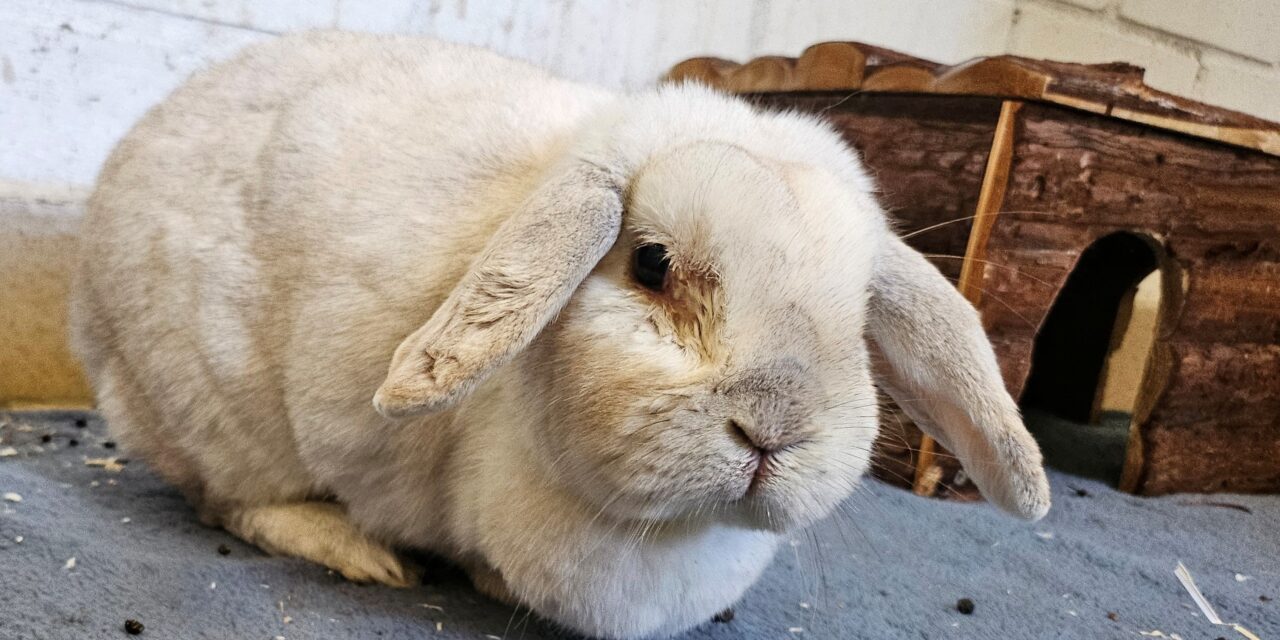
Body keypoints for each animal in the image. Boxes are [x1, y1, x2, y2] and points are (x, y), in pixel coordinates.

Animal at [69, 30, 1050, 640]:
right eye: (651, 263)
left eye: (856, 317)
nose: (775, 429)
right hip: (215, 410)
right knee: (230, 501)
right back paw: (359, 553)